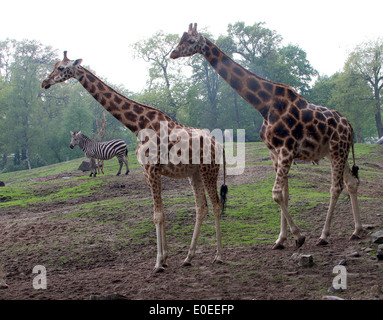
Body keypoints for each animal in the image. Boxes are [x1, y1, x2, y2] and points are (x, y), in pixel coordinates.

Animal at [42, 51, 228, 272]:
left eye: (61, 68)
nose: (45, 82)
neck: (138, 125)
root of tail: (219, 145)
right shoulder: (149, 171)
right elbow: (161, 213)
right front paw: (165, 258)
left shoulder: (151, 169)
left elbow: (158, 215)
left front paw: (158, 263)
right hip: (194, 173)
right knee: (202, 208)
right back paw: (188, 257)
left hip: (209, 170)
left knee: (216, 204)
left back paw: (218, 256)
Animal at [171, 23, 364, 249]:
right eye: (180, 38)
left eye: (191, 41)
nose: (173, 53)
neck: (264, 105)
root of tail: (349, 126)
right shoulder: (274, 152)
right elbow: (285, 195)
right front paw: (281, 239)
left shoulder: (287, 150)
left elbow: (276, 194)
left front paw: (298, 236)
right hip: (334, 152)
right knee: (352, 183)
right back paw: (357, 230)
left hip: (337, 150)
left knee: (336, 187)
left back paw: (324, 235)